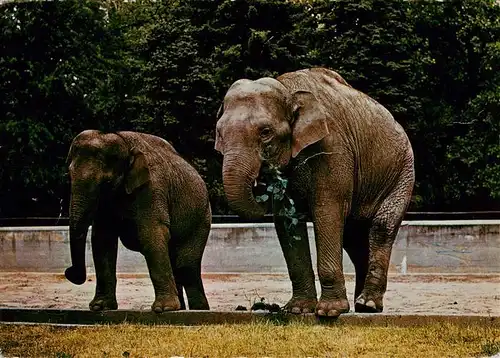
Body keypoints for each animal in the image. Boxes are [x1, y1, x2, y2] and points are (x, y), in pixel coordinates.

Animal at [64, 130, 209, 312]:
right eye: (69, 176)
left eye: (106, 182)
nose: (69, 272)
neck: (124, 141)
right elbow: (103, 240)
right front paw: (100, 307)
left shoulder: (152, 188)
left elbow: (151, 234)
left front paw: (163, 309)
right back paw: (180, 309)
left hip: (200, 220)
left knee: (186, 268)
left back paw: (198, 310)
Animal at [215, 68, 414, 318]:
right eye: (219, 133)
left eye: (265, 132)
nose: (262, 180)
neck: (288, 91)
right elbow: (287, 220)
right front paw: (297, 310)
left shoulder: (333, 149)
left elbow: (326, 211)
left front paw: (329, 312)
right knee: (353, 238)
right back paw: (360, 307)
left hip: (403, 172)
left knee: (381, 226)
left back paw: (368, 305)